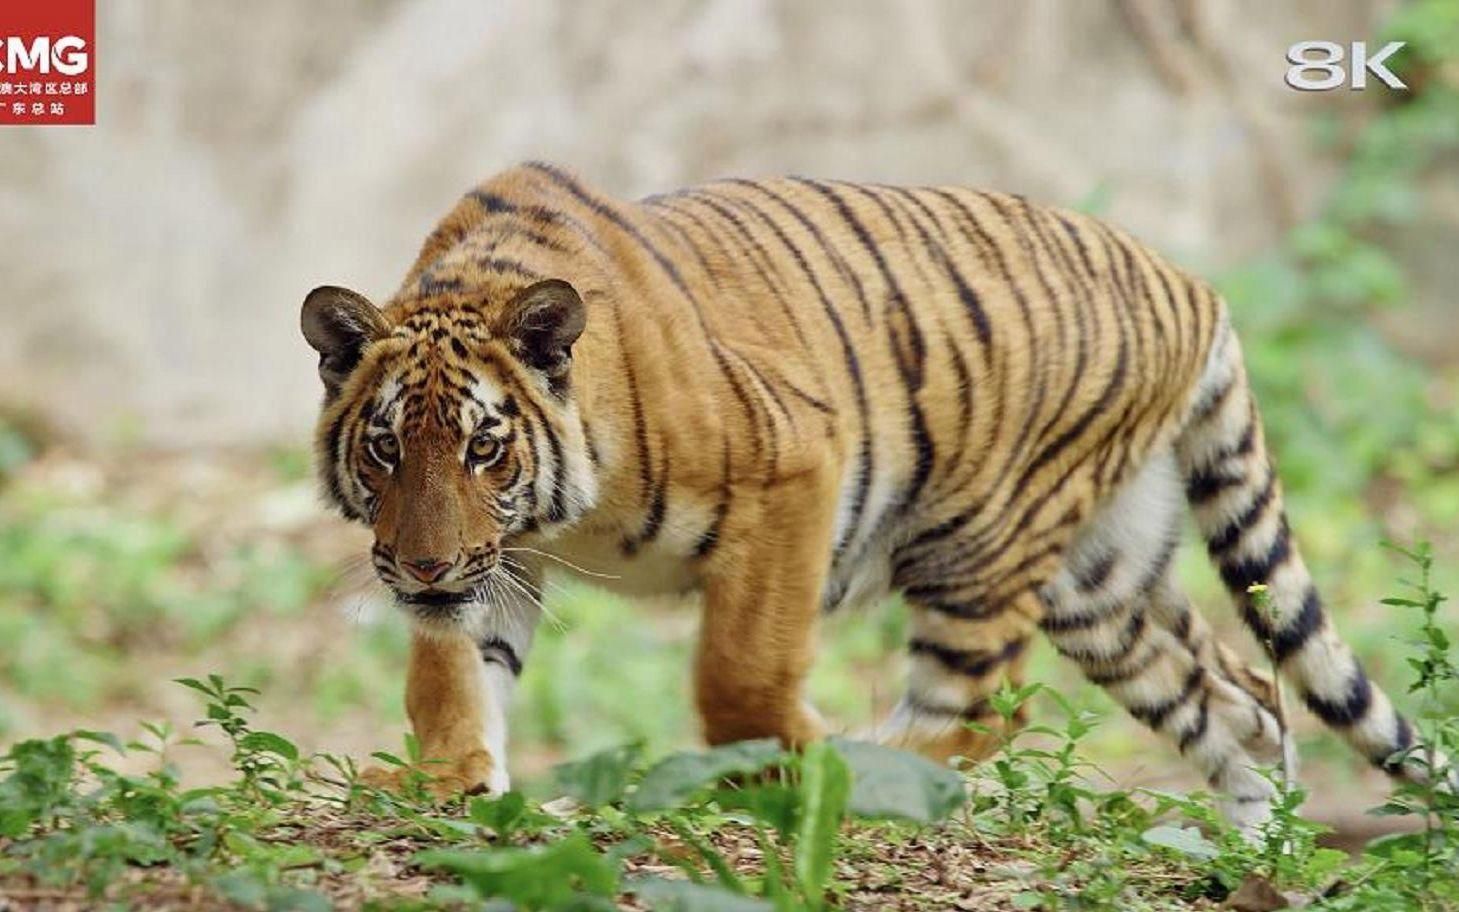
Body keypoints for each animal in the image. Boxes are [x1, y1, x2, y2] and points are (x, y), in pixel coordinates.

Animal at [301, 161, 1428, 830]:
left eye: (486, 448)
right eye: (387, 449)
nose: (421, 566)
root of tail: (1190, 285)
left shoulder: (791, 469)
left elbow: (738, 670)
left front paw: (776, 765)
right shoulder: (499, 561)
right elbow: (449, 670)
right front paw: (450, 776)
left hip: (980, 546)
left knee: (979, 707)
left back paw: (856, 770)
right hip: (1102, 583)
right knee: (1238, 698)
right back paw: (1254, 846)